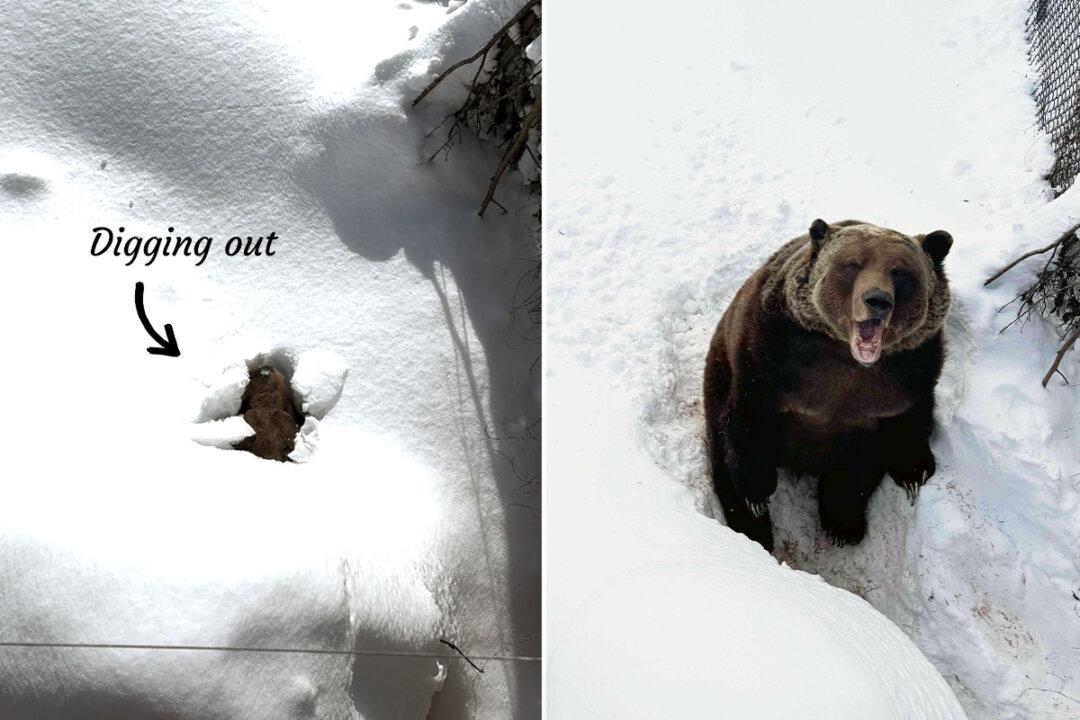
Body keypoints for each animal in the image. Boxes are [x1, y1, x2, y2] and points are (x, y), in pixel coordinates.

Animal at [703, 218, 952, 551]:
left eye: (900, 271)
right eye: (852, 264)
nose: (877, 300)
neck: (849, 360)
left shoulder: (904, 382)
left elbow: (870, 460)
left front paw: (911, 477)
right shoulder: (770, 358)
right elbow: (747, 425)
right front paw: (756, 496)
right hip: (719, 372)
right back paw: (753, 534)